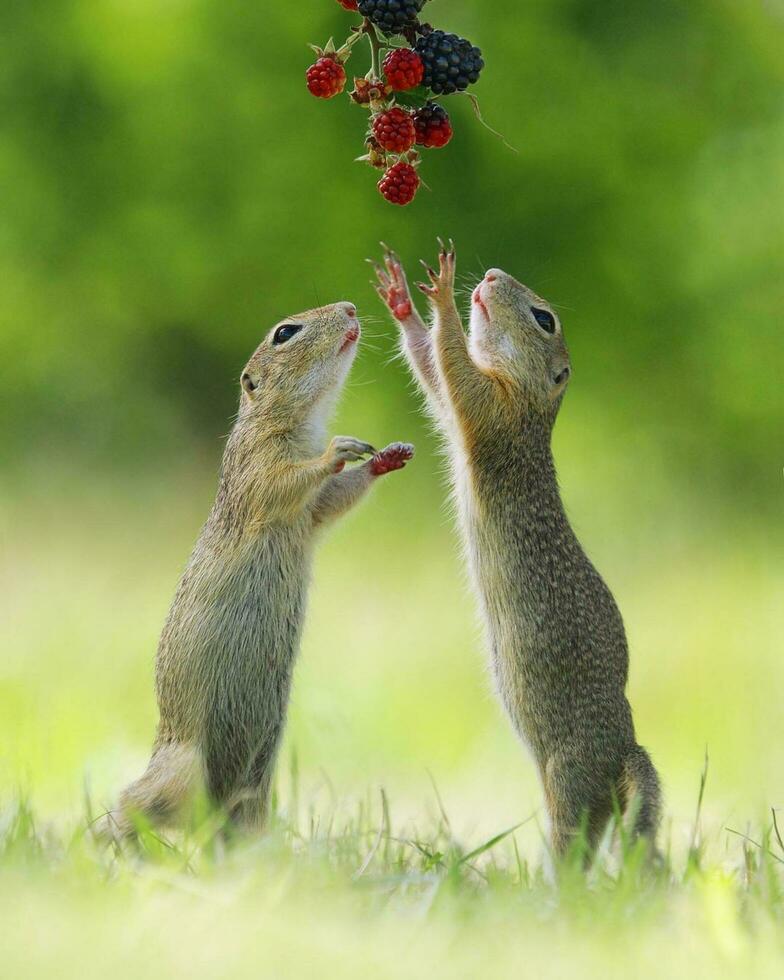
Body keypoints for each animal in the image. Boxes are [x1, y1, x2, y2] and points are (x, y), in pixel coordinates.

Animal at [112, 300, 416, 836]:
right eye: (285, 333)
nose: (350, 307)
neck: (296, 424)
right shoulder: (257, 465)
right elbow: (282, 483)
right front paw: (338, 449)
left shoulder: (311, 512)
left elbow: (331, 502)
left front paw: (387, 457)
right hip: (182, 771)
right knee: (131, 808)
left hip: (253, 785)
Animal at [376, 245, 660, 856]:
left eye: (544, 319)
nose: (488, 276)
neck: (530, 404)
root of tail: (625, 746)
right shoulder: (477, 406)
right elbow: (434, 371)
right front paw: (403, 299)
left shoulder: (491, 409)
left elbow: (454, 367)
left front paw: (442, 294)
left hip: (567, 781)